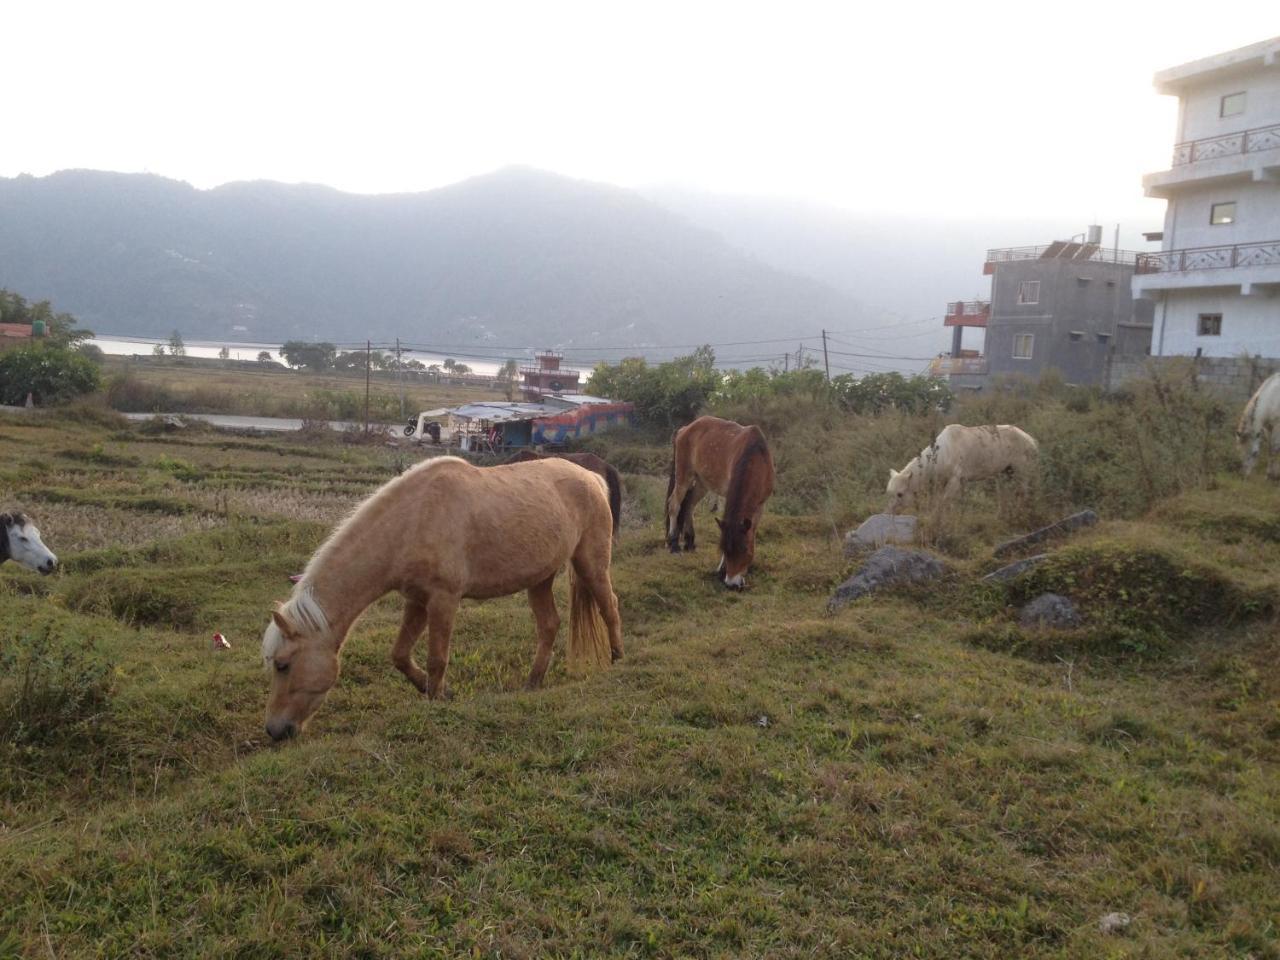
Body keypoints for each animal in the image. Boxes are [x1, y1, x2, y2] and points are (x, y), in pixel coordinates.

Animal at [259, 455, 619, 742]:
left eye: (283, 664)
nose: (275, 730)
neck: (412, 521)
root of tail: (592, 477)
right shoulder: (417, 600)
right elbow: (400, 655)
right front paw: (436, 691)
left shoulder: (443, 600)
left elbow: (437, 658)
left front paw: (435, 702)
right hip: (540, 579)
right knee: (549, 625)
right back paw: (533, 682)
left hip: (591, 564)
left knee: (609, 607)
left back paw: (617, 659)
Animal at [665, 417, 773, 591]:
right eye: (724, 549)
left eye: (744, 550)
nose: (732, 584)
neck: (755, 455)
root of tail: (685, 429)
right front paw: (722, 570)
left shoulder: (760, 505)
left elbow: (753, 532)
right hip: (684, 475)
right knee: (674, 504)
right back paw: (674, 544)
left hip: (702, 483)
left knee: (689, 505)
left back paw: (690, 541)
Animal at [890, 424, 1039, 514]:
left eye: (900, 494)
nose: (890, 513)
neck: (942, 454)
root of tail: (1031, 440)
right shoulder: (952, 481)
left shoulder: (954, 480)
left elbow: (944, 501)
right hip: (1007, 472)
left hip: (1022, 470)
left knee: (1023, 491)